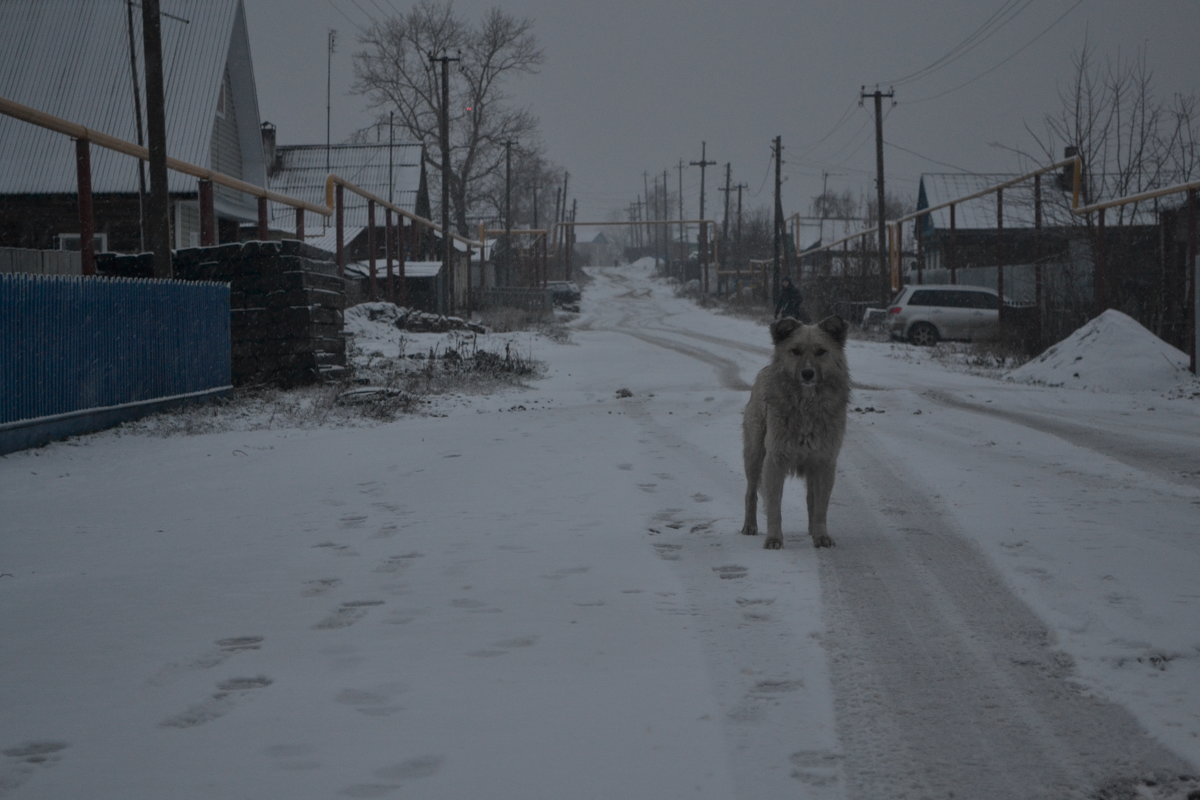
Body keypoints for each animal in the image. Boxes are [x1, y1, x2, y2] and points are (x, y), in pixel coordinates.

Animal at [734, 316, 849, 546]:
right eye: (795, 351)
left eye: (821, 351)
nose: (807, 374)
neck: (806, 406)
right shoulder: (774, 461)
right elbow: (774, 507)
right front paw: (773, 539)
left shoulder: (824, 462)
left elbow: (820, 507)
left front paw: (821, 536)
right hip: (754, 455)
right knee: (750, 493)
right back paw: (749, 526)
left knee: (810, 499)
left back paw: (812, 530)